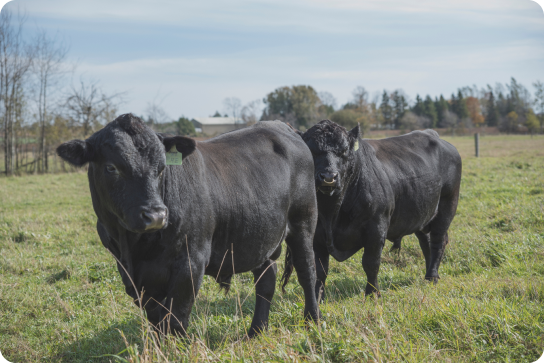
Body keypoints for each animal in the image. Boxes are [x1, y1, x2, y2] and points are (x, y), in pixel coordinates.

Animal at [56, 114, 318, 338]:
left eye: (161, 167)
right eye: (111, 167)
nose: (156, 215)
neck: (135, 246)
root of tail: (282, 125)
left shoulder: (191, 262)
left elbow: (176, 317)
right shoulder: (129, 271)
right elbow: (156, 318)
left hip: (304, 223)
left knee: (307, 273)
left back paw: (312, 321)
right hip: (261, 236)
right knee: (266, 280)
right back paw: (256, 331)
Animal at [296, 121, 462, 300]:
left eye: (344, 150)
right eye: (312, 150)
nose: (328, 177)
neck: (332, 211)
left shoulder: (376, 228)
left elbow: (370, 263)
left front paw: (372, 293)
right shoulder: (317, 235)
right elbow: (320, 269)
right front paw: (318, 297)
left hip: (447, 207)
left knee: (438, 241)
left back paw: (432, 276)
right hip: (422, 215)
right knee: (426, 243)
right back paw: (427, 274)